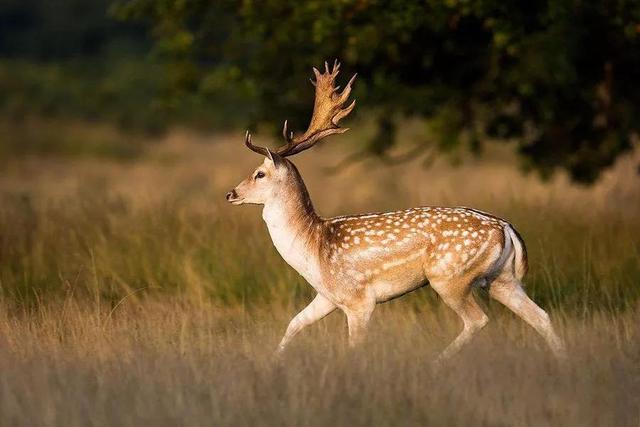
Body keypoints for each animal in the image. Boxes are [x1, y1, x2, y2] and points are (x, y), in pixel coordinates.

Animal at [225, 61, 564, 368]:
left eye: (259, 174)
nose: (231, 194)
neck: (313, 247)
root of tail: (506, 228)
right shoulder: (328, 296)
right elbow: (293, 324)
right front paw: (273, 362)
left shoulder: (359, 299)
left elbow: (354, 346)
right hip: (502, 279)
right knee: (541, 316)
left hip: (450, 276)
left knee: (478, 319)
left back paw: (437, 362)